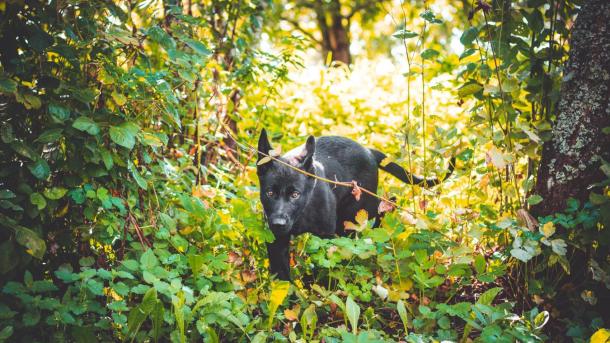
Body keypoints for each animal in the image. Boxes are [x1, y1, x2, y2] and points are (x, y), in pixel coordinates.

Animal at [254, 128, 454, 280]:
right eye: (270, 193)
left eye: (295, 194)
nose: (278, 223)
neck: (301, 214)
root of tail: (368, 150)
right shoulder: (276, 240)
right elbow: (281, 274)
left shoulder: (325, 236)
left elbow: (327, 262)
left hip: (359, 210)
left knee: (382, 209)